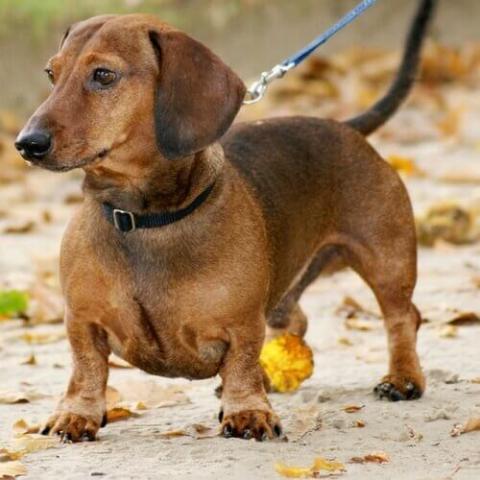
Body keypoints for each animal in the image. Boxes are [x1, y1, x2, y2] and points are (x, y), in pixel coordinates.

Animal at [14, 0, 436, 442]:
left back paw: (403, 378)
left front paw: (247, 410)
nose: (26, 144)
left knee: (402, 317)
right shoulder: (82, 321)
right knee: (295, 320)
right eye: (51, 73)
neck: (144, 219)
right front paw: (76, 414)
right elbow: (86, 369)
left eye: (103, 75)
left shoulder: (242, 322)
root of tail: (346, 127)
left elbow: (242, 362)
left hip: (386, 259)